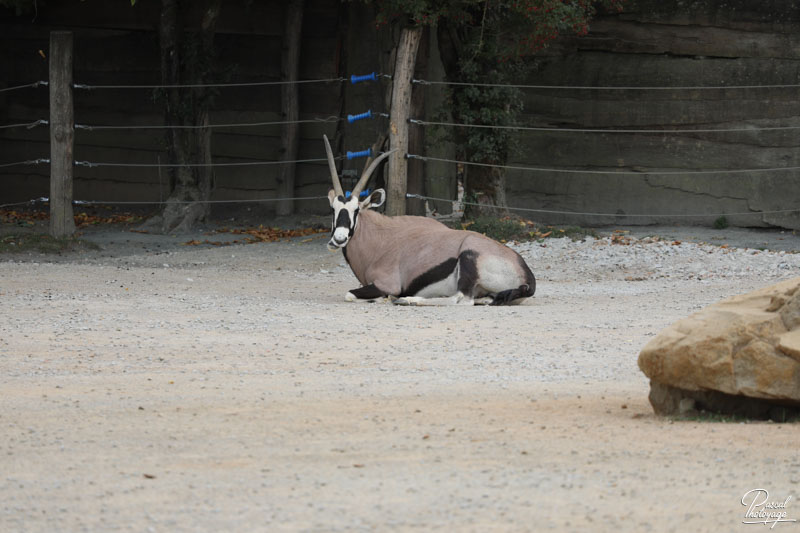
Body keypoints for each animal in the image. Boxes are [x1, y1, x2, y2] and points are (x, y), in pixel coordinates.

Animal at [322, 135, 536, 306]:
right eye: (333, 209)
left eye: (356, 210)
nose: (339, 239)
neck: (380, 238)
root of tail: (526, 275)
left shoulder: (387, 284)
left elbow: (350, 294)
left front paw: (388, 298)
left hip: (468, 257)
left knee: (461, 299)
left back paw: (407, 300)